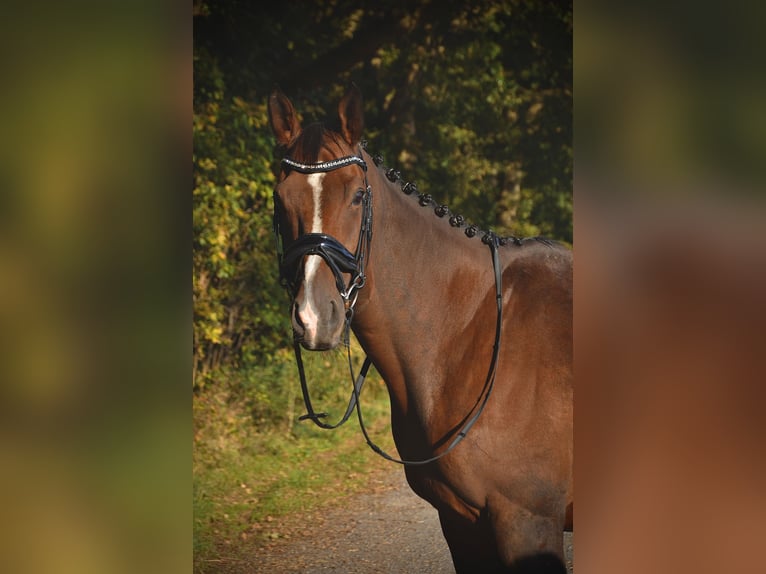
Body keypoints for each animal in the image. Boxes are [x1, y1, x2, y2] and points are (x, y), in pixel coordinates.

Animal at [268, 86, 572, 574]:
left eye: (357, 196)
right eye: (280, 198)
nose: (315, 317)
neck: (470, 334)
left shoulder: (528, 523)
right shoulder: (461, 523)